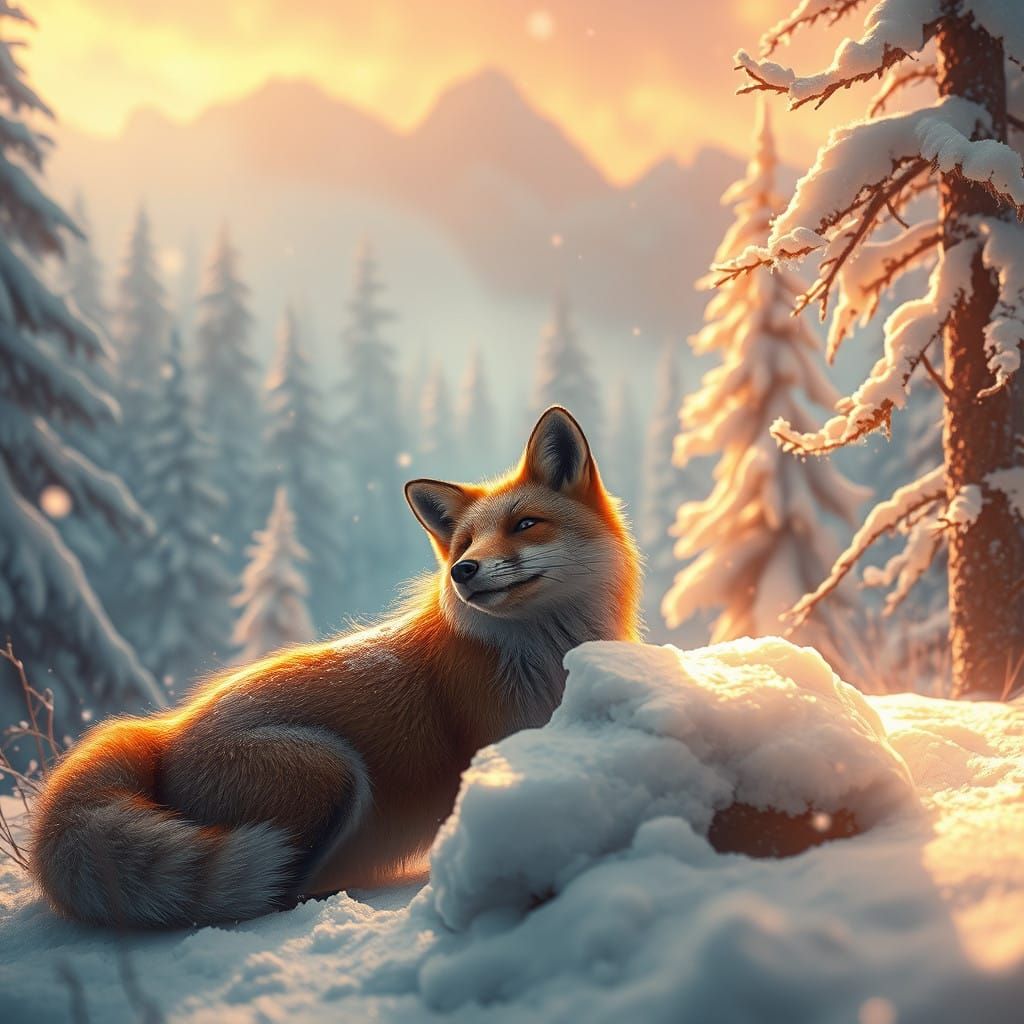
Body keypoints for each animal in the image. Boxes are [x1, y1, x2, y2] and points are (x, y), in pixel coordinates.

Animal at [30, 406, 642, 928]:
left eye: (525, 525)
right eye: (465, 542)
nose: (463, 571)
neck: (542, 654)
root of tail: (163, 734)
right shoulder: (494, 751)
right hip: (331, 771)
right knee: (259, 893)